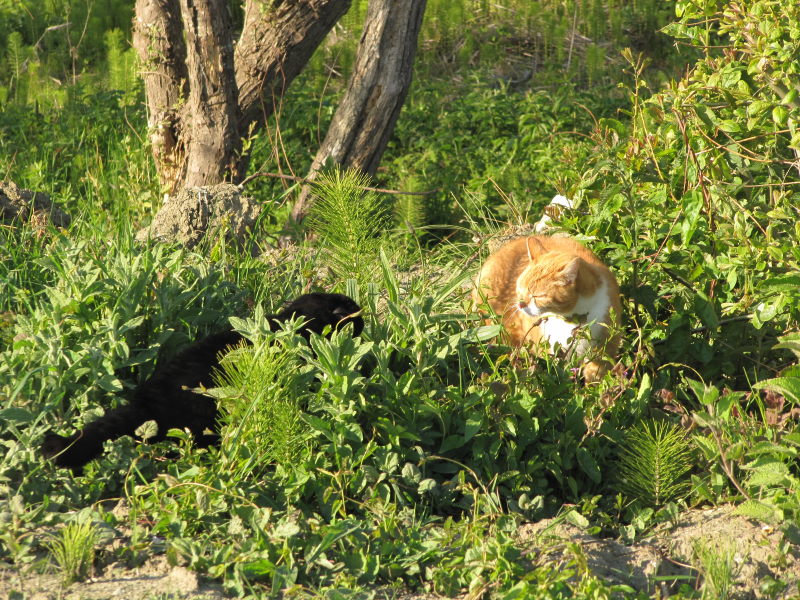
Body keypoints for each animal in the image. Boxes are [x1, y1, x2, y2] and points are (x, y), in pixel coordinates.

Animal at [472, 234, 620, 380]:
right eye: (520, 289)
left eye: (537, 296)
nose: (520, 304)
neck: (574, 319)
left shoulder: (606, 342)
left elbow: (597, 371)